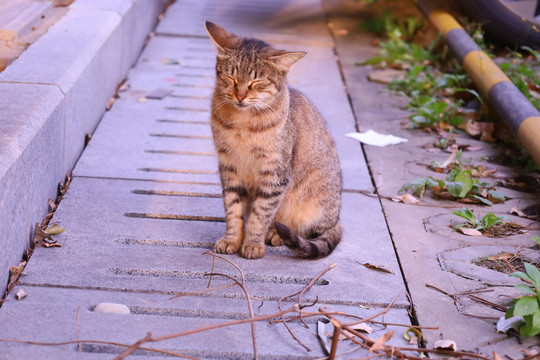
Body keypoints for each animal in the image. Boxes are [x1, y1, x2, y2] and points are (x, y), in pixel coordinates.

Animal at [207, 21, 342, 258]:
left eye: (256, 82)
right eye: (231, 78)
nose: (240, 96)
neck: (242, 122)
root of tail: (337, 219)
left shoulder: (275, 173)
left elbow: (261, 213)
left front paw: (252, 243)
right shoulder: (229, 166)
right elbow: (233, 209)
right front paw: (232, 239)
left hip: (315, 200)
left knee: (310, 231)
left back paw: (277, 234)